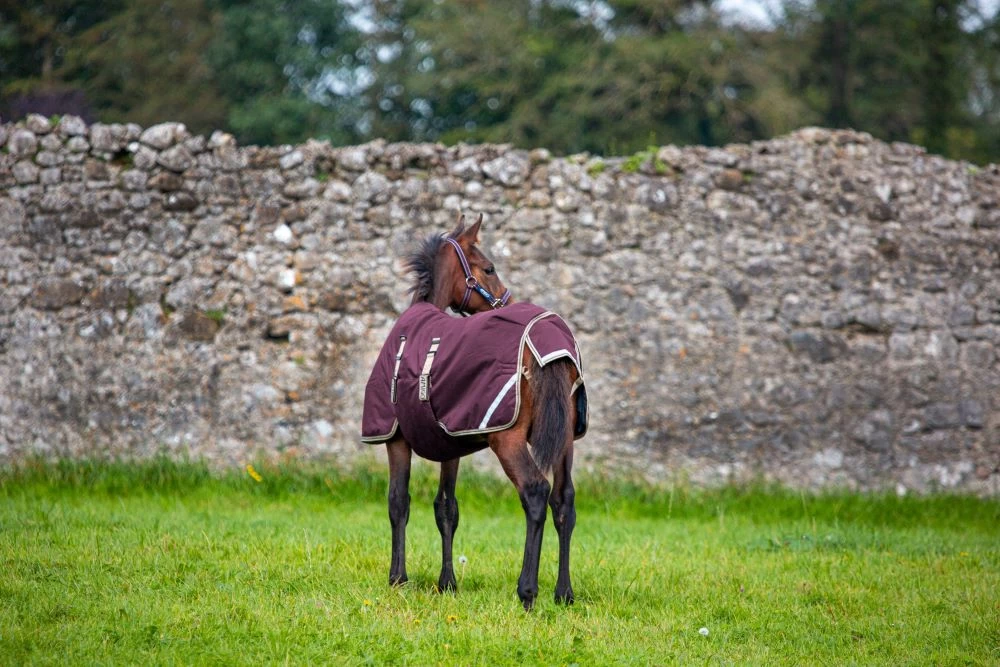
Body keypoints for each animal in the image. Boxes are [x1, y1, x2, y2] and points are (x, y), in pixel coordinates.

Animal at [361, 213, 588, 610]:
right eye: (489, 267)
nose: (506, 300)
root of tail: (549, 346)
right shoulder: (450, 443)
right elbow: (446, 508)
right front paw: (447, 583)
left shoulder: (395, 439)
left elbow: (397, 502)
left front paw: (398, 578)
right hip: (564, 443)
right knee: (564, 502)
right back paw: (564, 593)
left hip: (508, 441)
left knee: (535, 493)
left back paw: (527, 592)